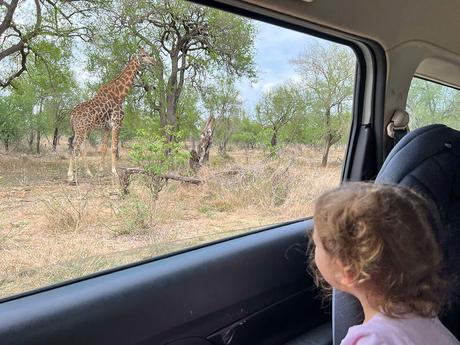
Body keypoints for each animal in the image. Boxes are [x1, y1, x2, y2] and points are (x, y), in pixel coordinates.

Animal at [67, 48, 155, 183]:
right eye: (144, 55)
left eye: (149, 54)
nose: (153, 62)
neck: (119, 95)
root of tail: (72, 115)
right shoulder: (117, 123)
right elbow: (113, 148)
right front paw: (114, 172)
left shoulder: (106, 127)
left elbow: (103, 148)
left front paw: (100, 172)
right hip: (81, 130)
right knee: (75, 146)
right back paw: (71, 176)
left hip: (84, 130)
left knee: (80, 147)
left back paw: (89, 173)